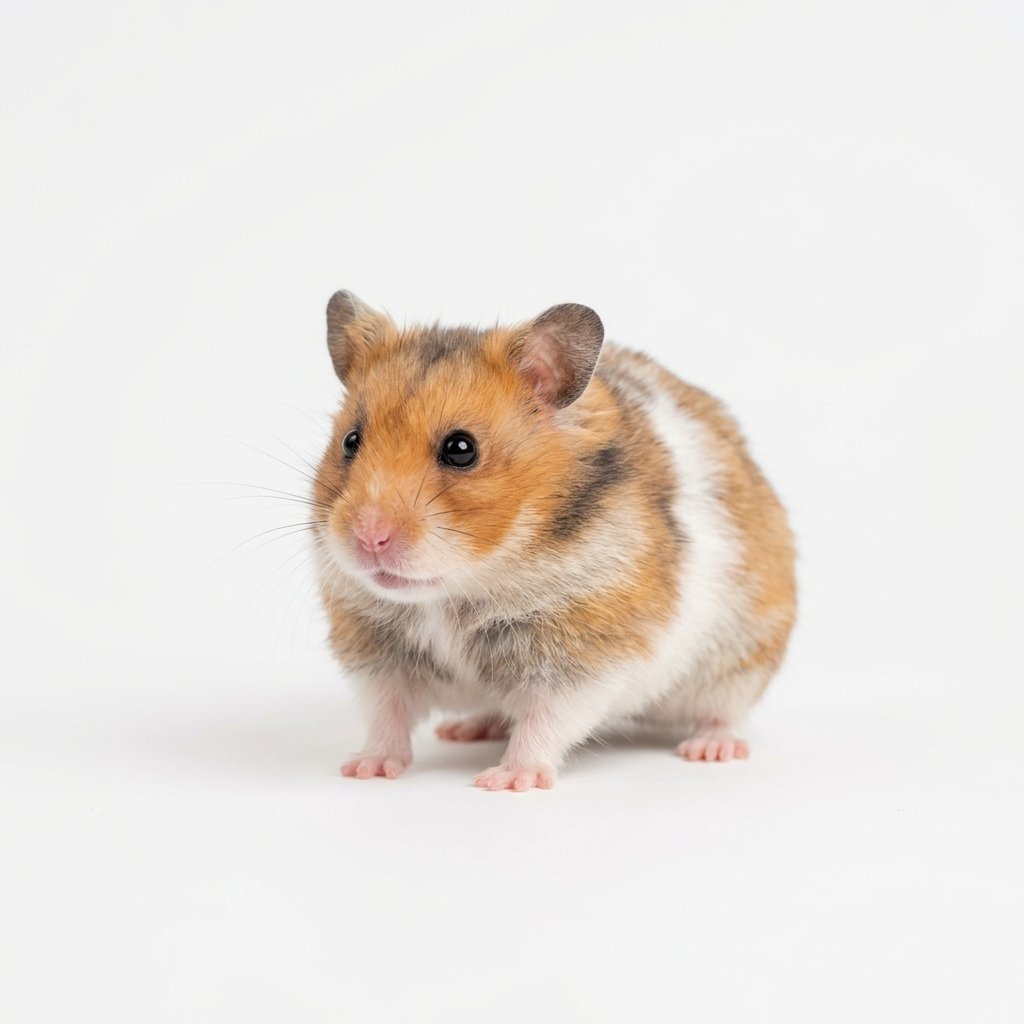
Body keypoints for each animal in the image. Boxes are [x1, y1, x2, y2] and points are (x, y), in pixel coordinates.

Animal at [312, 291, 796, 791]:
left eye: (461, 449)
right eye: (350, 440)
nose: (368, 538)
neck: (457, 590)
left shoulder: (583, 657)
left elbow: (544, 722)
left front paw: (505, 781)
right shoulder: (377, 655)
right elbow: (386, 715)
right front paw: (364, 769)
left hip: (743, 656)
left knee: (724, 714)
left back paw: (709, 749)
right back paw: (465, 728)